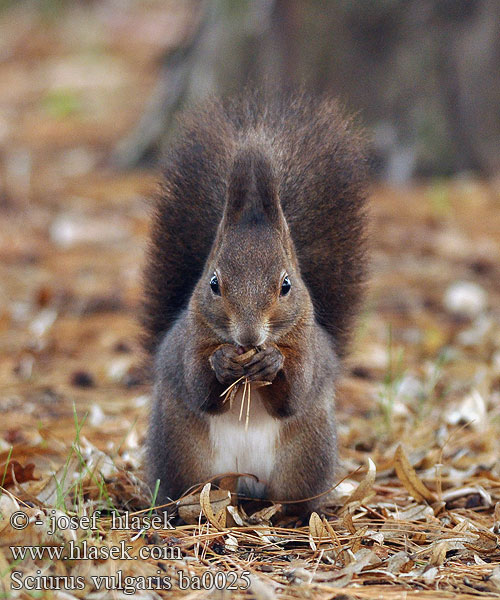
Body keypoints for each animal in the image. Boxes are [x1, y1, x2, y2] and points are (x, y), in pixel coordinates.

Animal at [143, 91, 370, 512]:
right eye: (214, 283)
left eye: (286, 285)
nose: (249, 338)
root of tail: (245, 485)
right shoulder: (188, 345)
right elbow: (199, 388)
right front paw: (221, 362)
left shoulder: (307, 350)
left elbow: (294, 394)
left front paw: (272, 362)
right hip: (181, 454)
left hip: (306, 455)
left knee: (294, 498)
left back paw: (295, 516)